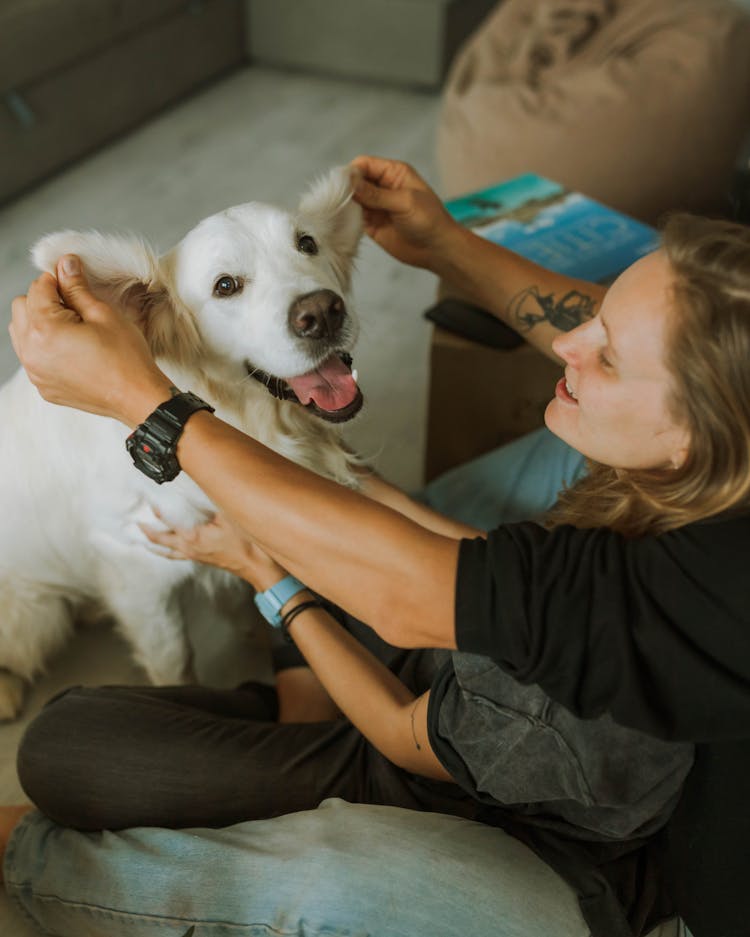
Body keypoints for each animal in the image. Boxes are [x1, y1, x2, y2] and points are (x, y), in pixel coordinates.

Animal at [0, 165, 368, 720]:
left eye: (307, 243)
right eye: (225, 286)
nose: (322, 313)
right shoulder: (138, 574)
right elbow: (175, 662)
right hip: (32, 614)